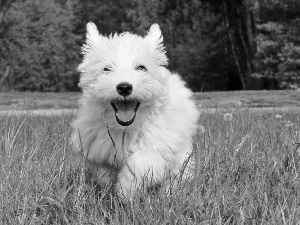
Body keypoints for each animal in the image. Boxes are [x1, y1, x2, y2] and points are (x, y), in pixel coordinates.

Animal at [71, 22, 199, 200]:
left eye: (141, 67)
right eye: (107, 69)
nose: (124, 87)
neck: (126, 129)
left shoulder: (158, 145)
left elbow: (139, 162)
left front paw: (126, 191)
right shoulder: (95, 145)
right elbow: (101, 170)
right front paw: (109, 187)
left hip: (181, 159)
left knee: (176, 178)